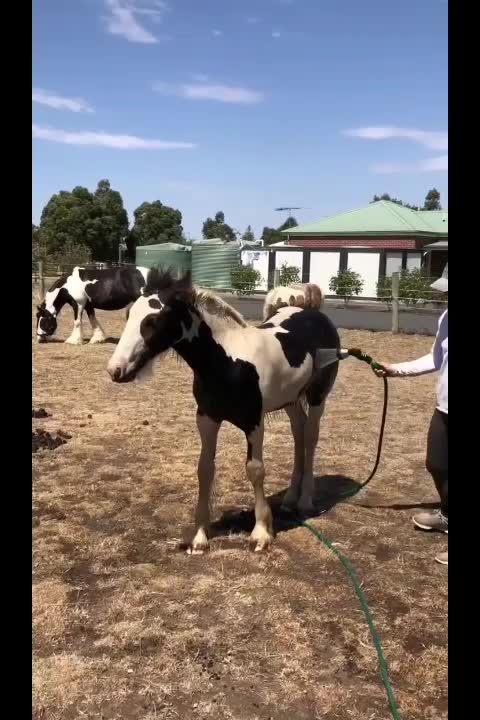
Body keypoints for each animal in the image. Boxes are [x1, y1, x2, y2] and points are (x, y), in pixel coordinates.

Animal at [107, 269, 339, 553]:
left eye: (152, 320)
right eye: (128, 314)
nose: (115, 370)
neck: (227, 361)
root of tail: (312, 310)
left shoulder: (254, 422)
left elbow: (255, 470)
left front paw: (261, 533)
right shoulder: (207, 419)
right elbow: (204, 469)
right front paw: (199, 538)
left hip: (318, 396)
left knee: (311, 436)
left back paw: (305, 501)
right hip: (291, 400)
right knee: (299, 433)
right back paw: (289, 500)